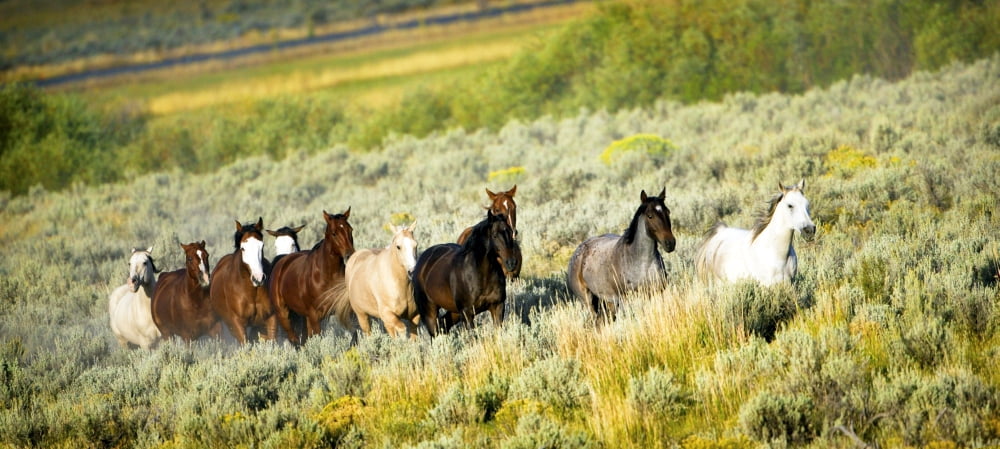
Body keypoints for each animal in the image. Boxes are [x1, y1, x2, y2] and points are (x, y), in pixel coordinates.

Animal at [269, 209, 355, 345]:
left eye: (350, 230)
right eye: (334, 233)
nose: (349, 255)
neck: (327, 275)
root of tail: (282, 260)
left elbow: (356, 332)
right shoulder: (315, 315)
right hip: (284, 314)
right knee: (294, 340)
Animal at [566, 188, 676, 321]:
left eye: (668, 212)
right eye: (650, 216)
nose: (670, 243)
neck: (643, 263)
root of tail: (578, 251)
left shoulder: (657, 292)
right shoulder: (626, 298)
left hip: (609, 302)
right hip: (588, 301)